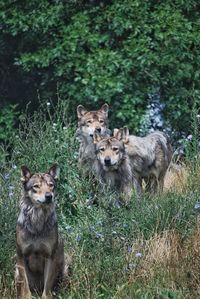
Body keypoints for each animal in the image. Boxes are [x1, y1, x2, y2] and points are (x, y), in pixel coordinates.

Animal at [15, 165, 65, 298]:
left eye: (51, 185)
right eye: (36, 186)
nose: (49, 196)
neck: (38, 221)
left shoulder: (49, 256)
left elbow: (47, 287)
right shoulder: (21, 256)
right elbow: (25, 285)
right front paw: (26, 296)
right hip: (16, 270)